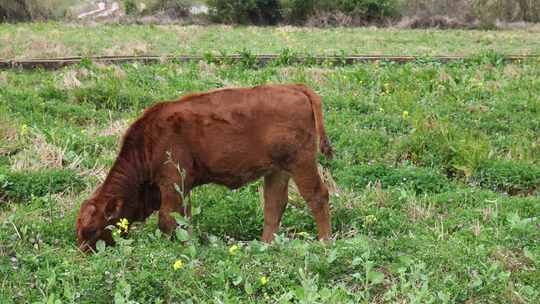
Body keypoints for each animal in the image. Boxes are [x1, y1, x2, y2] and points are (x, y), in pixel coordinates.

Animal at [74, 83, 332, 252]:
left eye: (91, 230)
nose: (84, 254)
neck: (148, 143)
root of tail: (295, 88)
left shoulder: (172, 183)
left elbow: (167, 219)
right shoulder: (182, 187)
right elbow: (183, 219)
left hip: (301, 164)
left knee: (317, 196)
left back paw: (325, 243)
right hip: (277, 171)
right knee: (274, 205)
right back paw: (264, 246)